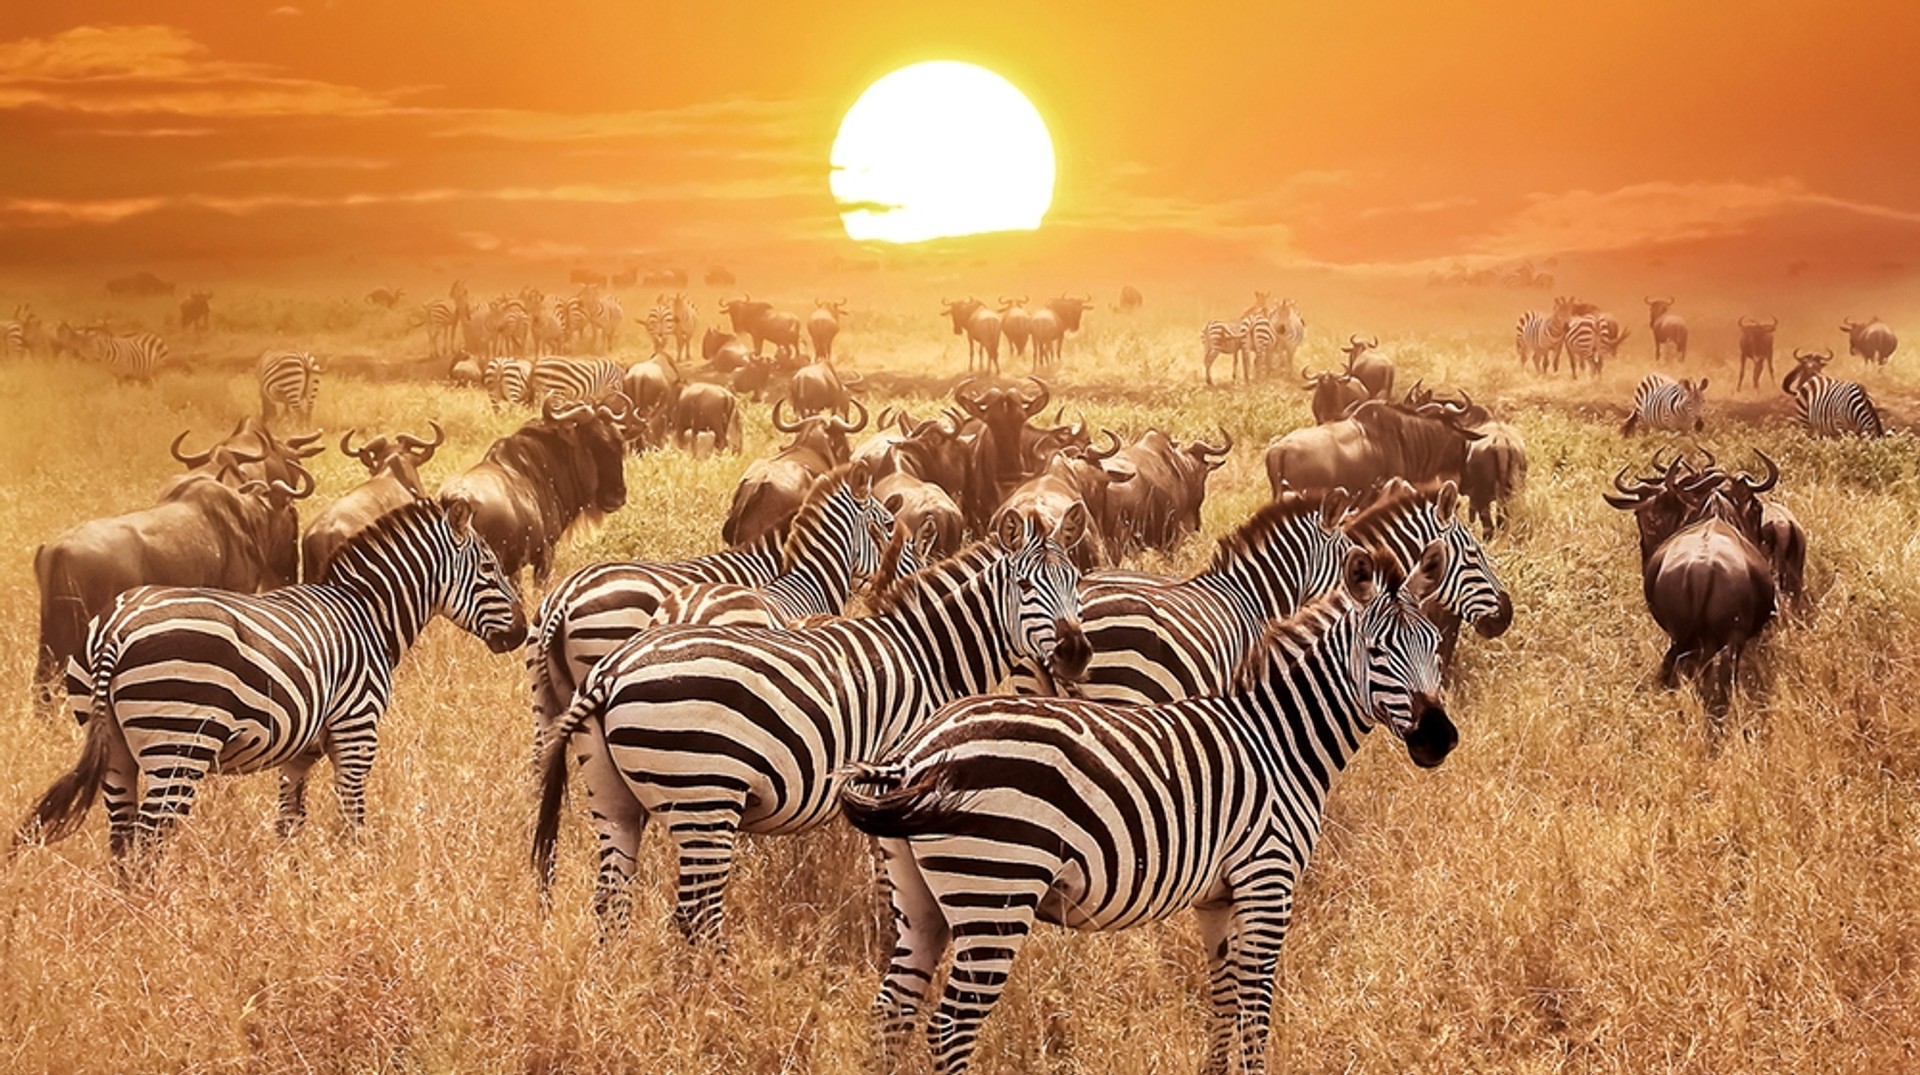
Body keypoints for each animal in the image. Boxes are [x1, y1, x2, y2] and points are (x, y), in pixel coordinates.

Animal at [14, 499, 526, 862]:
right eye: (489, 569)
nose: (522, 632)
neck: (366, 615)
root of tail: (117, 629)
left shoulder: (299, 752)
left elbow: (290, 822)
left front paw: (292, 886)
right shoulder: (357, 731)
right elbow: (351, 818)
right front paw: (355, 879)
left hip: (114, 747)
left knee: (122, 840)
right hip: (178, 745)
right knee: (148, 840)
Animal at [530, 510, 1092, 940]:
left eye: (1077, 584)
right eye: (1025, 585)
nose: (1077, 653)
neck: (925, 656)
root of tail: (613, 671)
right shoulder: (894, 780)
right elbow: (887, 878)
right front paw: (886, 936)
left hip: (614, 797)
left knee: (611, 898)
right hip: (705, 796)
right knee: (694, 914)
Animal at [841, 543, 1454, 1075]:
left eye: (1434, 645)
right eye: (1377, 652)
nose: (1439, 740)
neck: (1279, 740)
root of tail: (915, 753)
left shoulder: (1217, 896)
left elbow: (1223, 997)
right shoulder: (1267, 878)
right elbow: (1256, 1007)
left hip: (920, 900)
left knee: (891, 1010)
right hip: (997, 889)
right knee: (948, 1027)